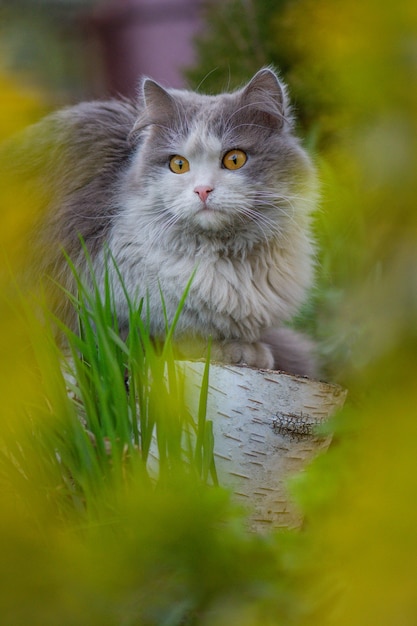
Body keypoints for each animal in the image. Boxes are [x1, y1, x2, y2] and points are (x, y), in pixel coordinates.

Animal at [10, 68, 316, 376]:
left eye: (234, 159)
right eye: (178, 164)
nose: (203, 190)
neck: (227, 259)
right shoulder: (101, 312)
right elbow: (175, 339)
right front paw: (238, 350)